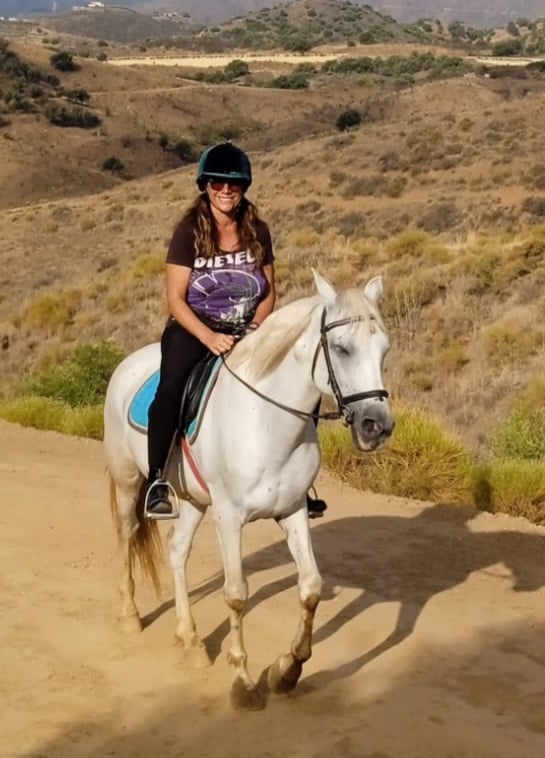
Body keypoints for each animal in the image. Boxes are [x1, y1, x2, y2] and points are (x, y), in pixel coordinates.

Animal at [103, 271, 394, 710]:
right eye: (342, 349)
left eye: (384, 350)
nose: (377, 426)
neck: (266, 420)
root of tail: (127, 363)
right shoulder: (229, 518)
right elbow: (237, 594)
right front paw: (243, 682)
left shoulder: (292, 511)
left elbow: (311, 588)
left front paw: (286, 671)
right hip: (127, 481)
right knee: (126, 538)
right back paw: (129, 617)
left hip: (192, 499)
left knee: (176, 551)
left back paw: (190, 640)